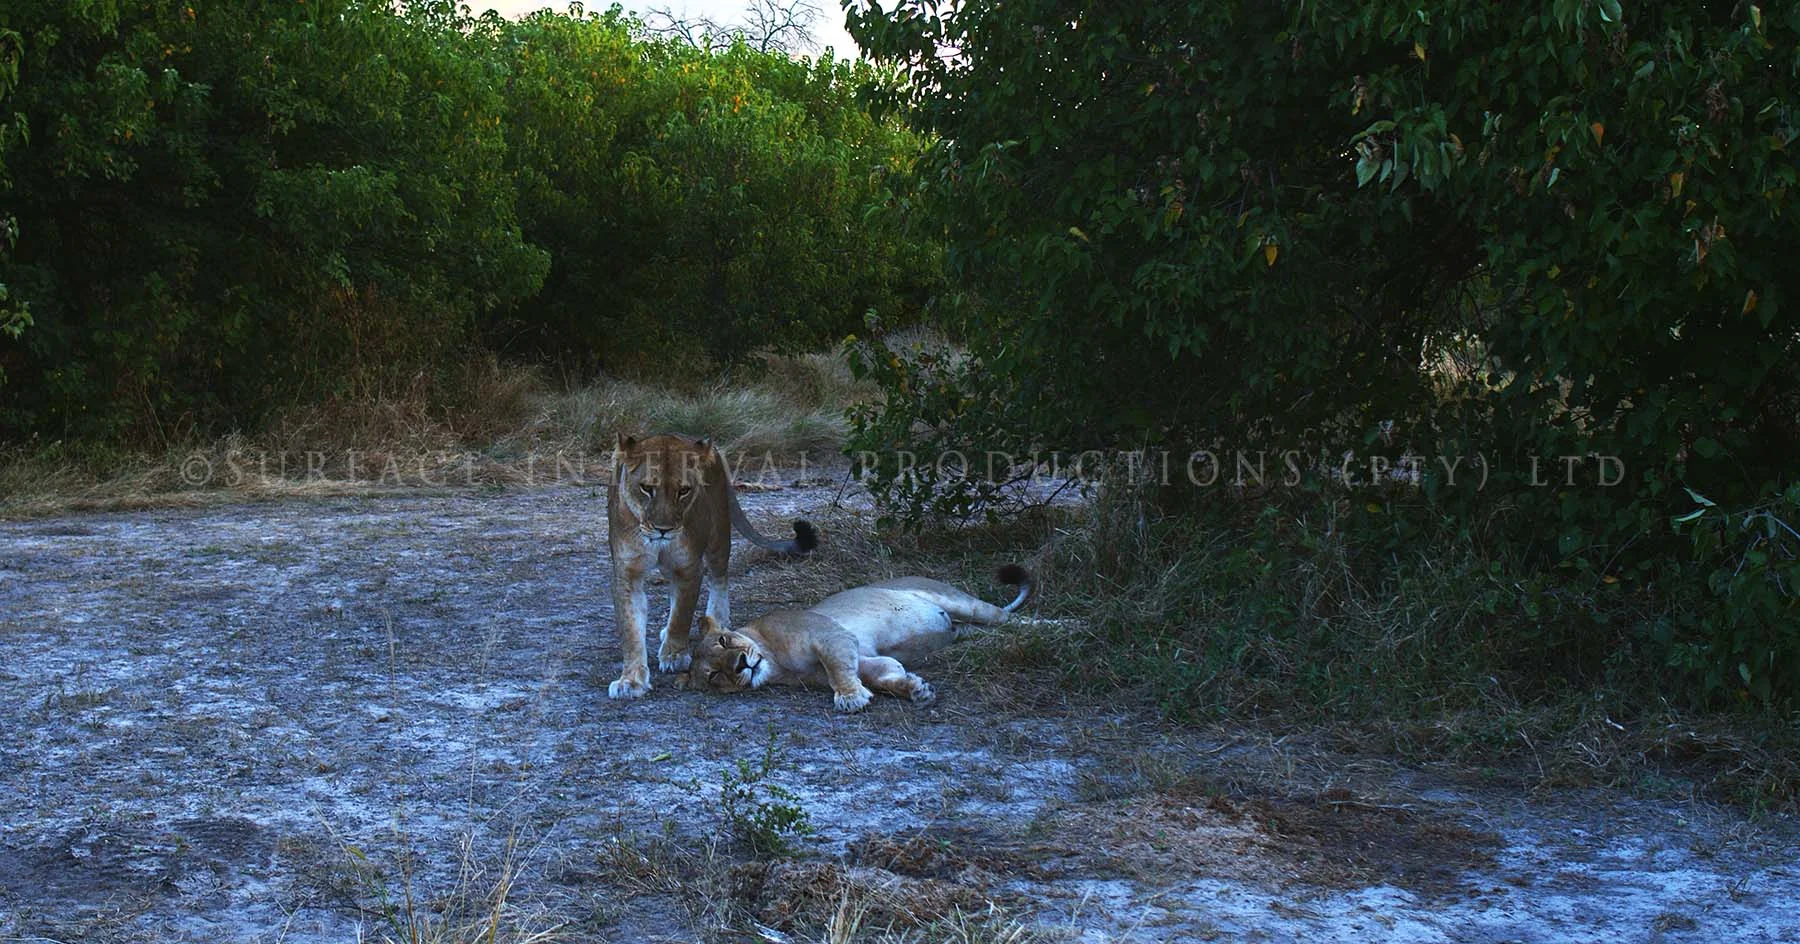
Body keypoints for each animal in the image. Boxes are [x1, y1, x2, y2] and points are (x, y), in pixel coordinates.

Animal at [607, 433, 818, 700]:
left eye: (683, 491)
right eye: (647, 488)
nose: (664, 530)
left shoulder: (689, 567)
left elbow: (682, 614)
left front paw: (675, 655)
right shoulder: (627, 574)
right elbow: (631, 630)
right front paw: (631, 680)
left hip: (718, 535)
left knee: (719, 577)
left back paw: (716, 620)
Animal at [678, 565, 1033, 711]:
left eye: (724, 641)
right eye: (714, 675)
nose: (740, 665)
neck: (777, 665)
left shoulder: (830, 636)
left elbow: (837, 668)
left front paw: (850, 698)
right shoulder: (865, 659)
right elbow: (884, 675)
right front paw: (915, 689)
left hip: (961, 602)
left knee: (1010, 618)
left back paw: (1044, 628)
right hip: (963, 629)